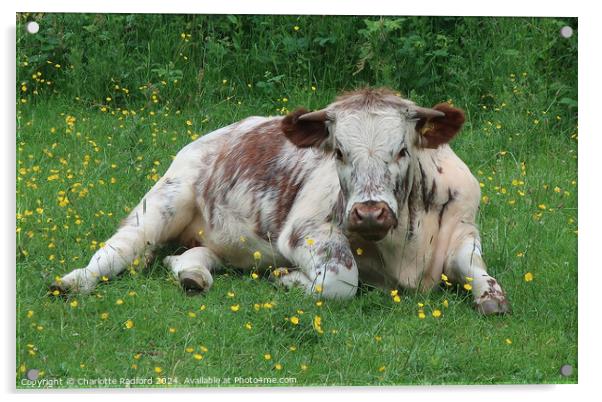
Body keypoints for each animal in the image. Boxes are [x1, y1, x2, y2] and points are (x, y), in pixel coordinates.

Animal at [51, 87, 506, 314]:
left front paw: (491, 297)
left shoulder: (464, 228)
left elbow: (476, 267)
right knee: (119, 248)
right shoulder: (305, 231)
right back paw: (72, 282)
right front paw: (287, 280)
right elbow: (341, 281)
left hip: (223, 239)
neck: (405, 250)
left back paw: (192, 275)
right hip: (165, 198)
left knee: (189, 255)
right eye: (339, 151)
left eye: (402, 150)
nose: (369, 213)